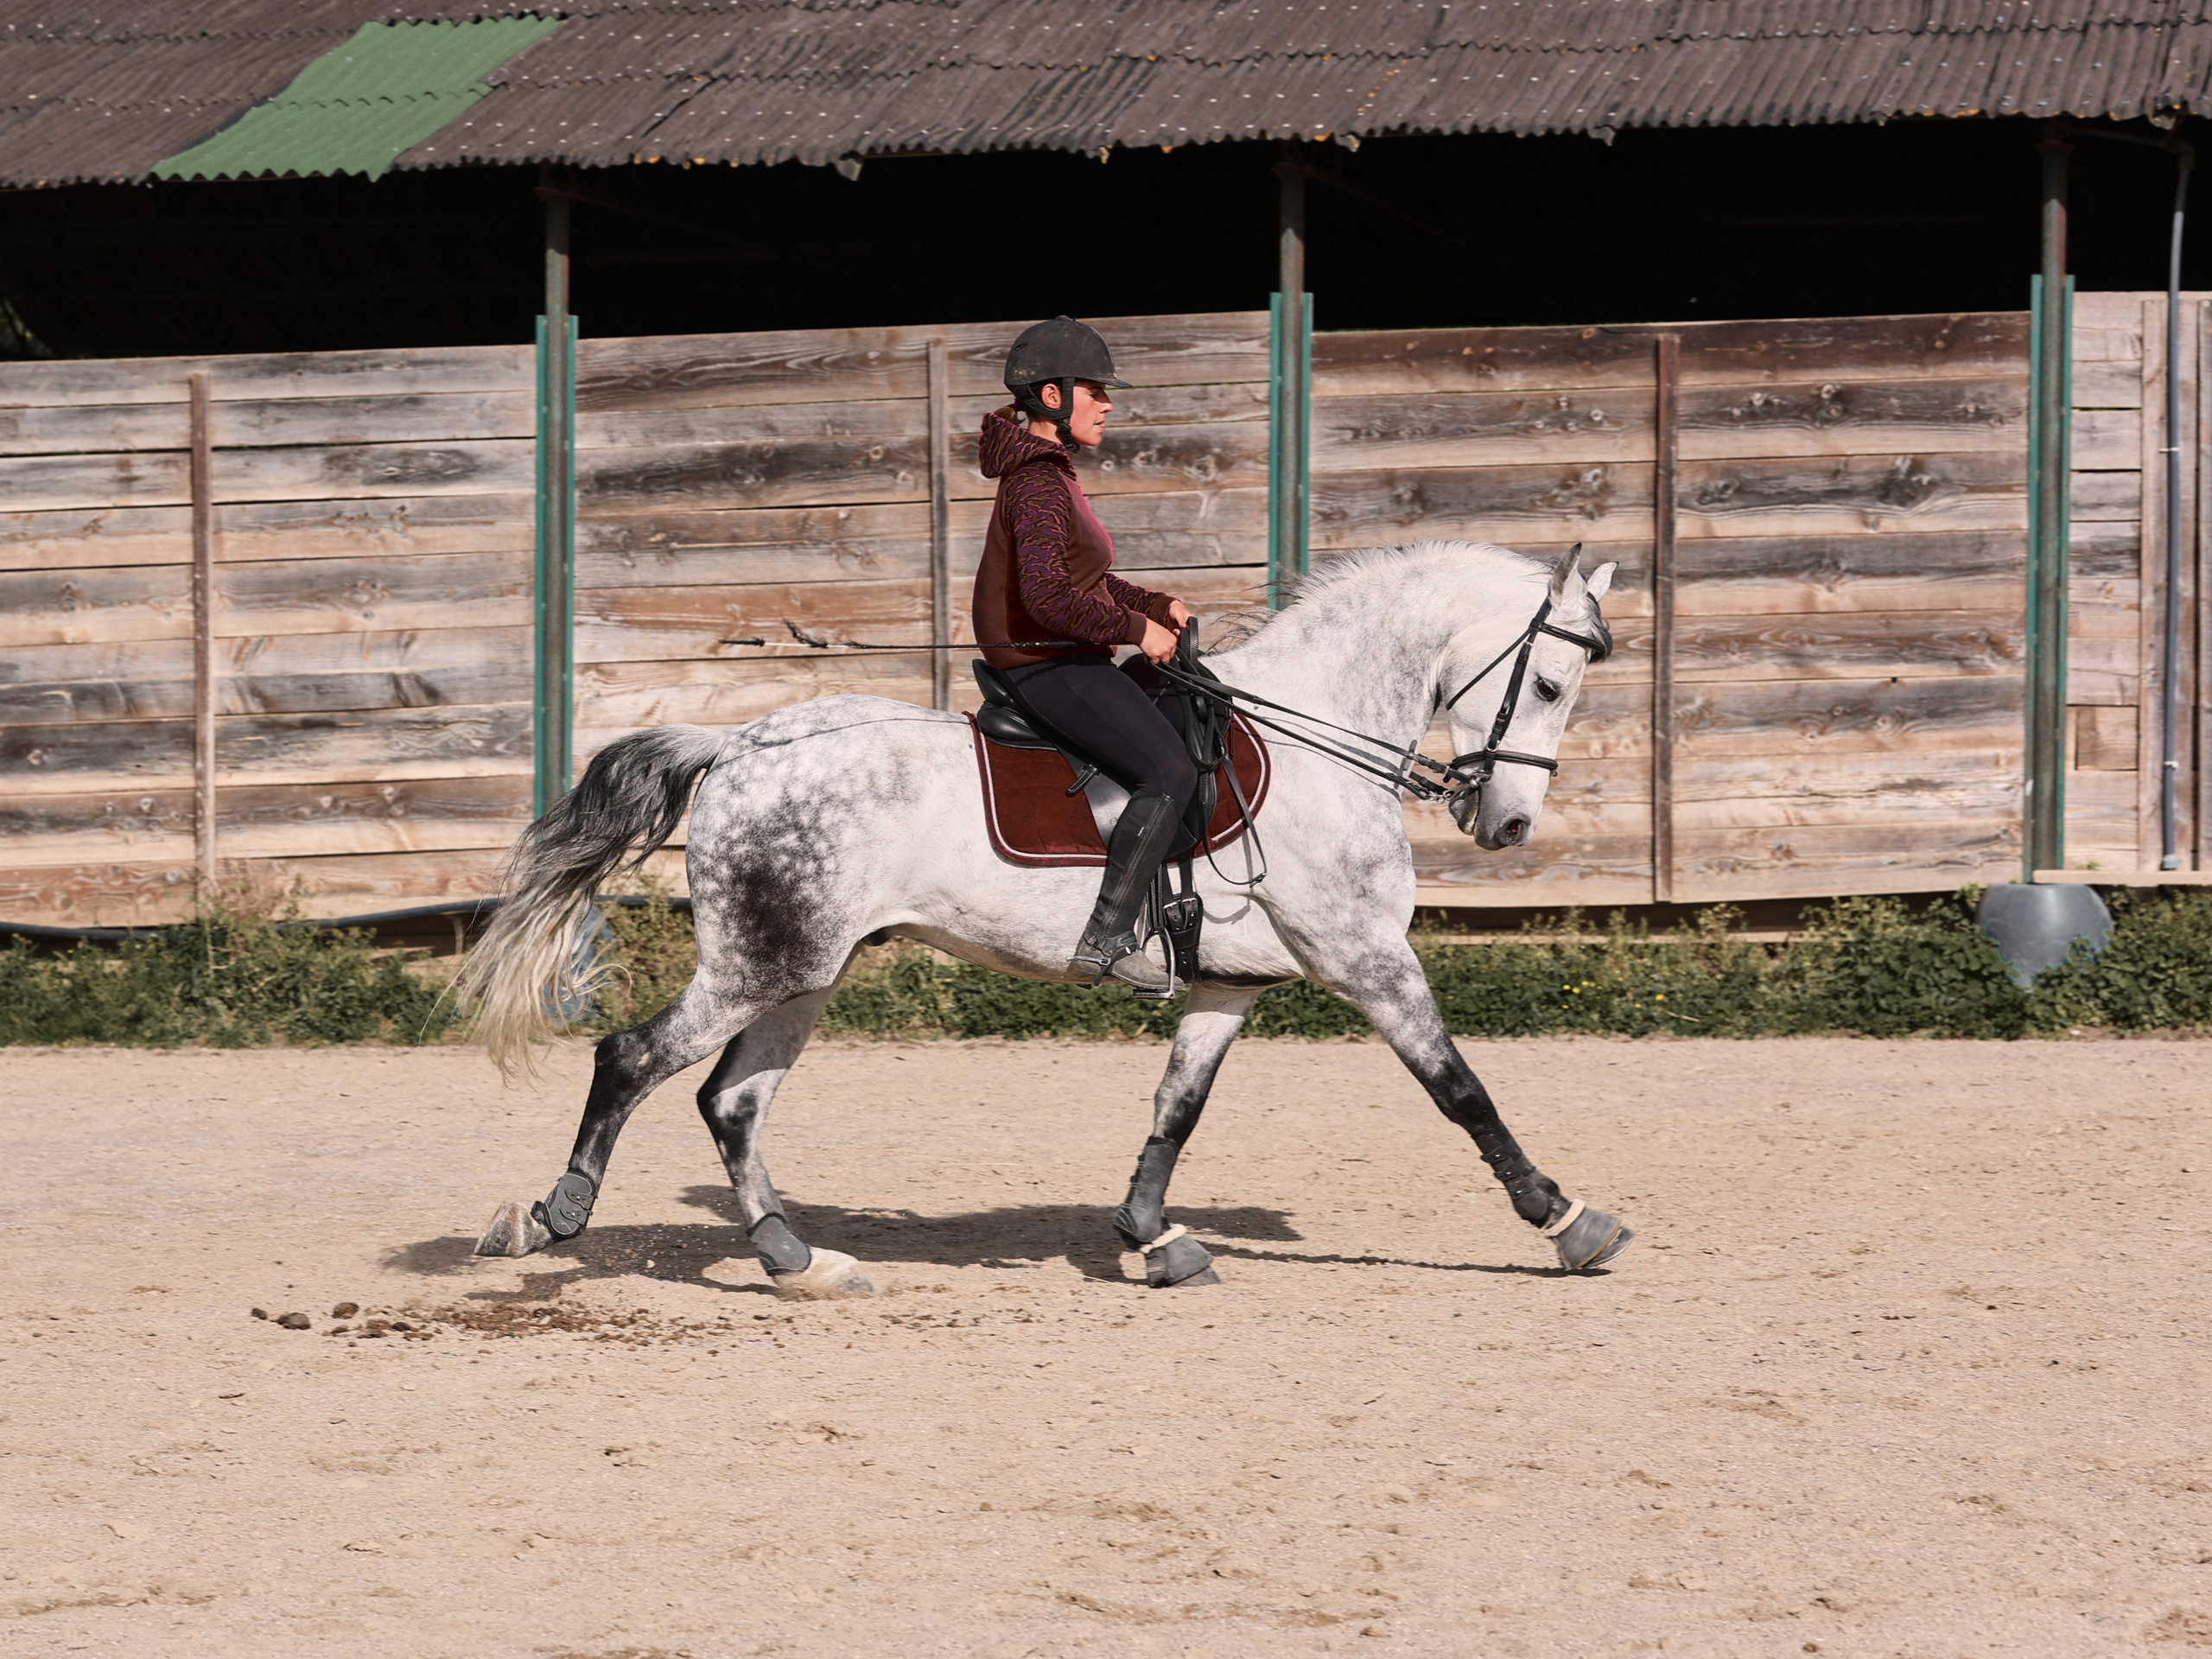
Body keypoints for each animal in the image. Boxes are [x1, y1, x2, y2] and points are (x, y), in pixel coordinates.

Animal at [457, 540, 1634, 1295]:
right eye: (1550, 685)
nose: (1508, 824)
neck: (1317, 741)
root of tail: (740, 744)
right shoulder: (1368, 959)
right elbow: (1461, 1091)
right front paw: (1567, 1219)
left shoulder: (1230, 985)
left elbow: (1176, 1110)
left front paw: (1150, 1240)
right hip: (761, 963)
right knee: (632, 1059)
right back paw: (552, 1218)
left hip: (805, 971)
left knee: (731, 1103)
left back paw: (797, 1263)